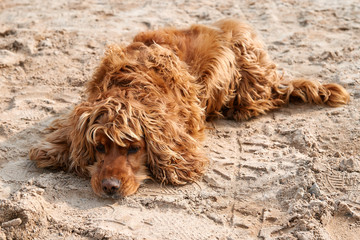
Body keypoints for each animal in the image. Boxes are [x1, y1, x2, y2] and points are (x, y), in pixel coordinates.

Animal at [28, 19, 348, 198]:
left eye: (135, 149)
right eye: (99, 147)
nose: (109, 186)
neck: (129, 85)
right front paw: (54, 148)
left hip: (251, 81)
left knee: (273, 93)